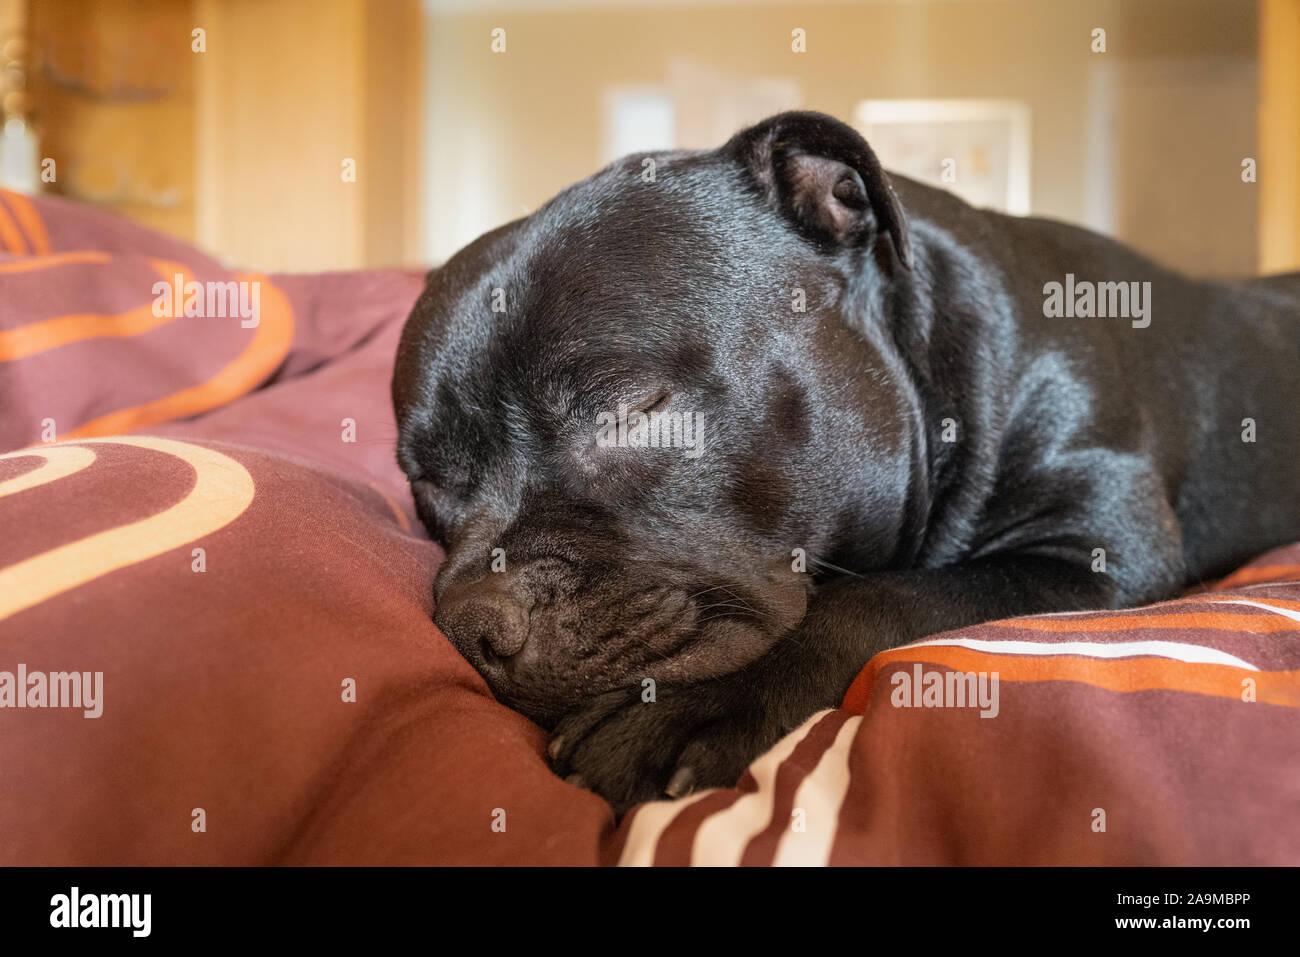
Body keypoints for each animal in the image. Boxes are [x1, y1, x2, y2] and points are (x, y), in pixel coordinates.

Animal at [387, 111, 1300, 816]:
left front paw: (694, 708)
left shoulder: (1101, 543)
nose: (469, 624)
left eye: (631, 407)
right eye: (425, 482)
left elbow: (888, 596)